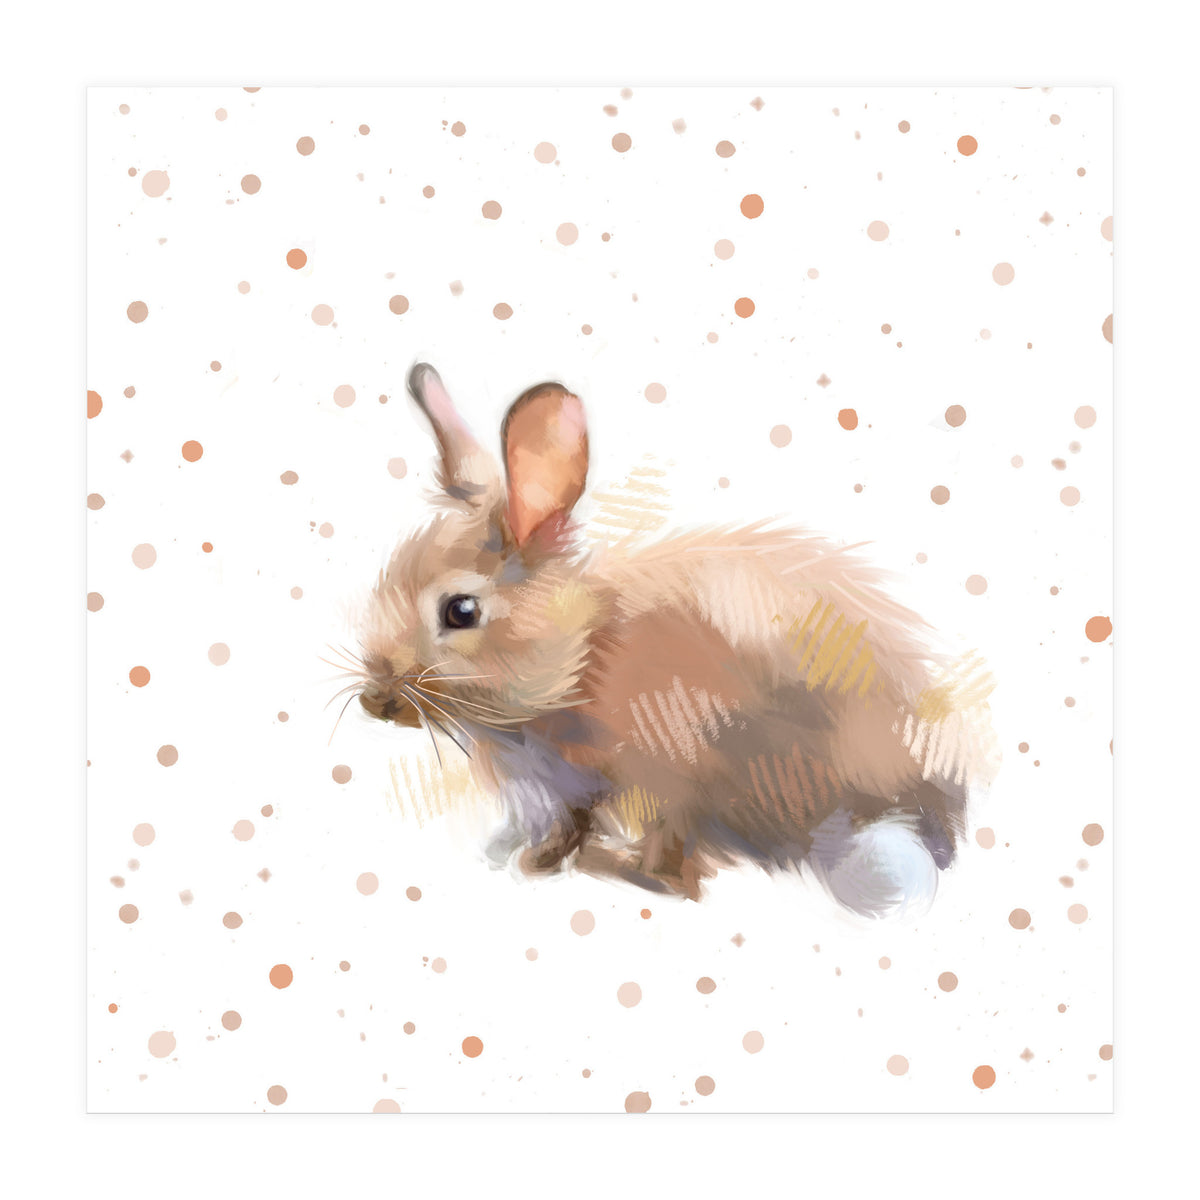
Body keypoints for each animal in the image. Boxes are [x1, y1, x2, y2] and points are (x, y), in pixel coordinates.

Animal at [351, 363, 999, 917]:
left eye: (460, 611)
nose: (374, 700)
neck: (581, 661)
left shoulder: (673, 769)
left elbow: (660, 850)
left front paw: (593, 868)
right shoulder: (569, 790)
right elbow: (571, 821)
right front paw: (529, 857)